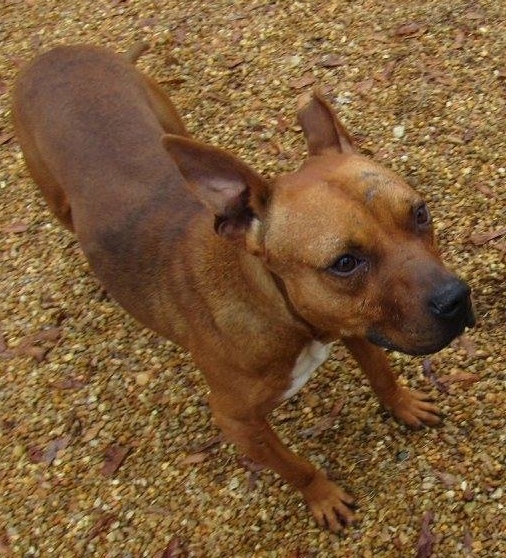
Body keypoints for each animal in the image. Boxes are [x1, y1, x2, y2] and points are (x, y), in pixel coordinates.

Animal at [11, 44, 474, 532]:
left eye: (420, 213)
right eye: (345, 263)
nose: (455, 299)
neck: (282, 311)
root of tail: (55, 52)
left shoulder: (353, 323)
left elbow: (382, 373)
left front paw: (403, 404)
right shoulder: (238, 422)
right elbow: (295, 466)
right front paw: (323, 496)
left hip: (169, 123)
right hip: (57, 197)